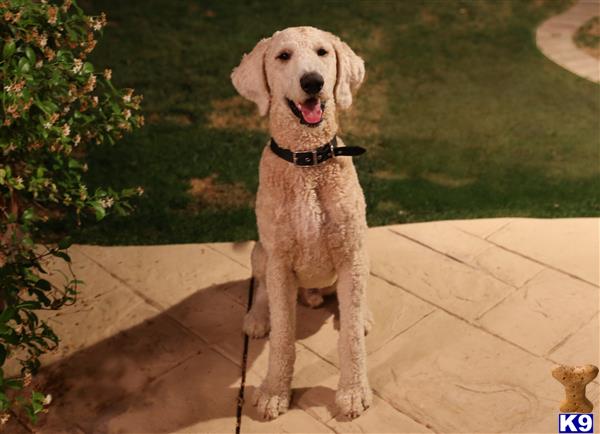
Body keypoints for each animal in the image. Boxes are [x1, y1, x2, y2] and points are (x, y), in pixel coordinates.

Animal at [232, 26, 372, 420]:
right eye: (283, 56)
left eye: (323, 52)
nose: (313, 82)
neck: (308, 160)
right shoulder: (280, 260)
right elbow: (283, 337)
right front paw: (274, 392)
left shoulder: (351, 253)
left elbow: (350, 337)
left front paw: (353, 392)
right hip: (261, 252)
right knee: (262, 288)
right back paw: (257, 317)